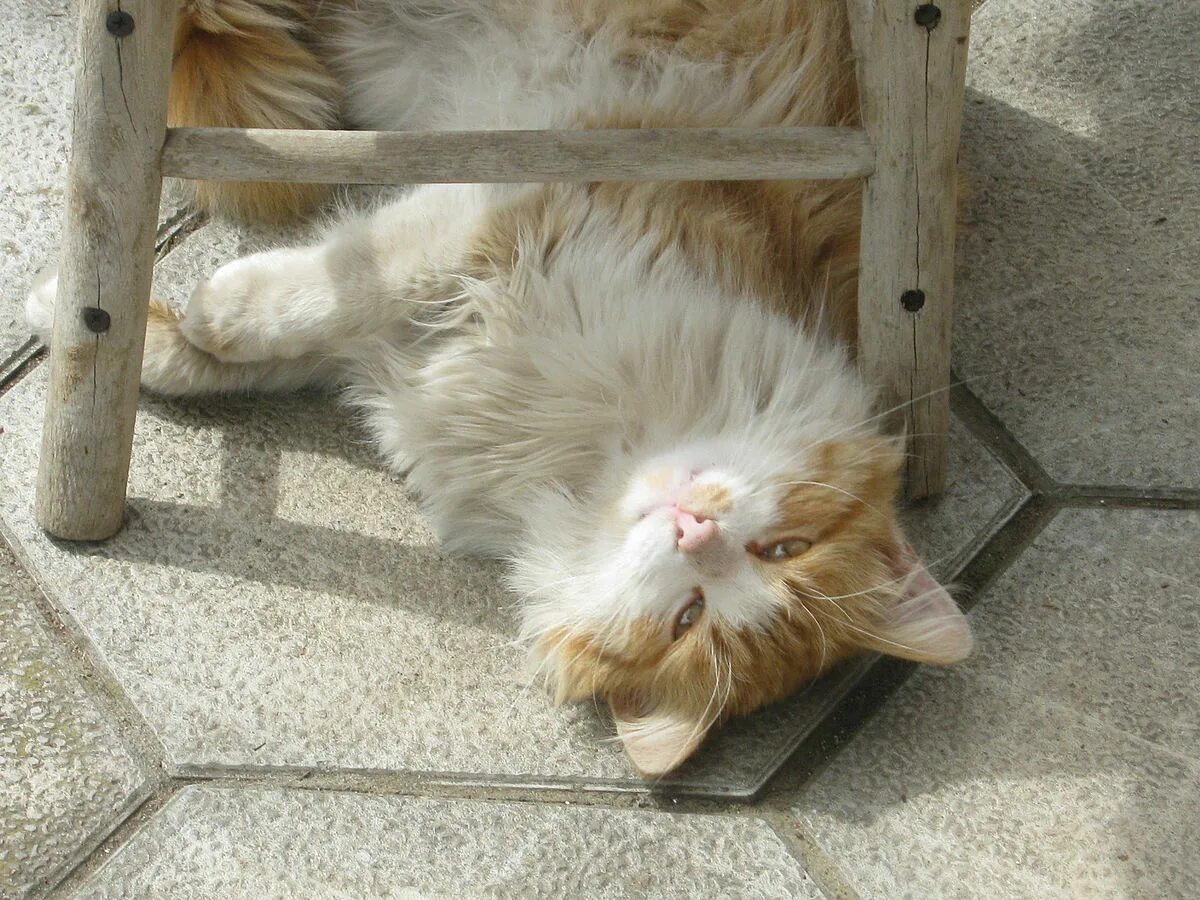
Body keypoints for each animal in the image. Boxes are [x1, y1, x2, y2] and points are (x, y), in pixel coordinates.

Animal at [25, 0, 974, 777]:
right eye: (786, 549)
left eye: (689, 617)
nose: (694, 530)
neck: (598, 454)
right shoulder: (541, 186)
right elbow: (352, 275)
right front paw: (152, 314)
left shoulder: (404, 338)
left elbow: (279, 337)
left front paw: (121, 329)